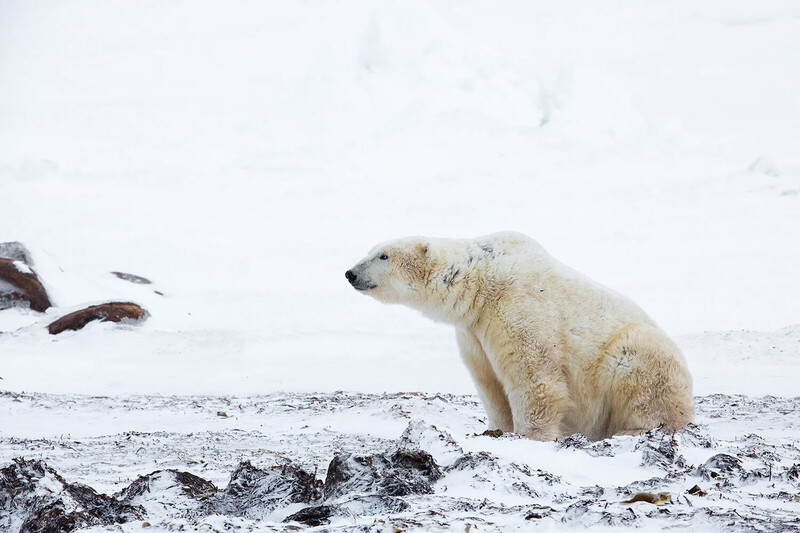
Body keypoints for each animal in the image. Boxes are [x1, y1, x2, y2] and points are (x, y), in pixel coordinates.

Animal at [345, 232, 693, 441]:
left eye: (383, 256)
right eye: (370, 250)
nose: (350, 273)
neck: (482, 280)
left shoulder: (518, 306)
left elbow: (536, 377)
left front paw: (529, 436)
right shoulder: (474, 332)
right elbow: (489, 383)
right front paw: (496, 430)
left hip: (639, 353)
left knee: (640, 376)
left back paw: (632, 431)